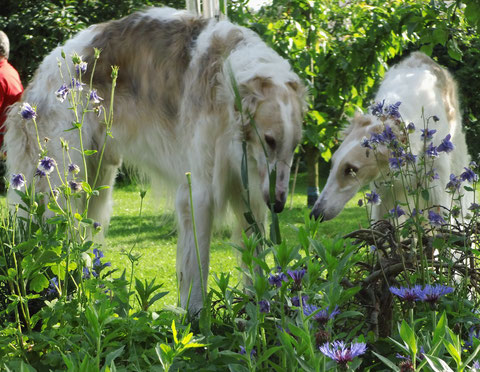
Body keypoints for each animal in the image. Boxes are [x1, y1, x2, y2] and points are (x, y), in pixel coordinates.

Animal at [3, 7, 306, 312]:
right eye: (269, 140)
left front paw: (261, 305)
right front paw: (195, 315)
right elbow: (197, 266)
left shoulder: (249, 193)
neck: (228, 80)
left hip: (97, 179)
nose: (279, 205)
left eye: (294, 146)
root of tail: (33, 89)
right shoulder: (198, 192)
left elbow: (255, 258)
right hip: (64, 180)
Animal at [312, 52, 472, 224]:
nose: (315, 214)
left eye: (351, 169)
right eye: (332, 163)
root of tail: (421, 55)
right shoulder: (384, 191)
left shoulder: (436, 186)